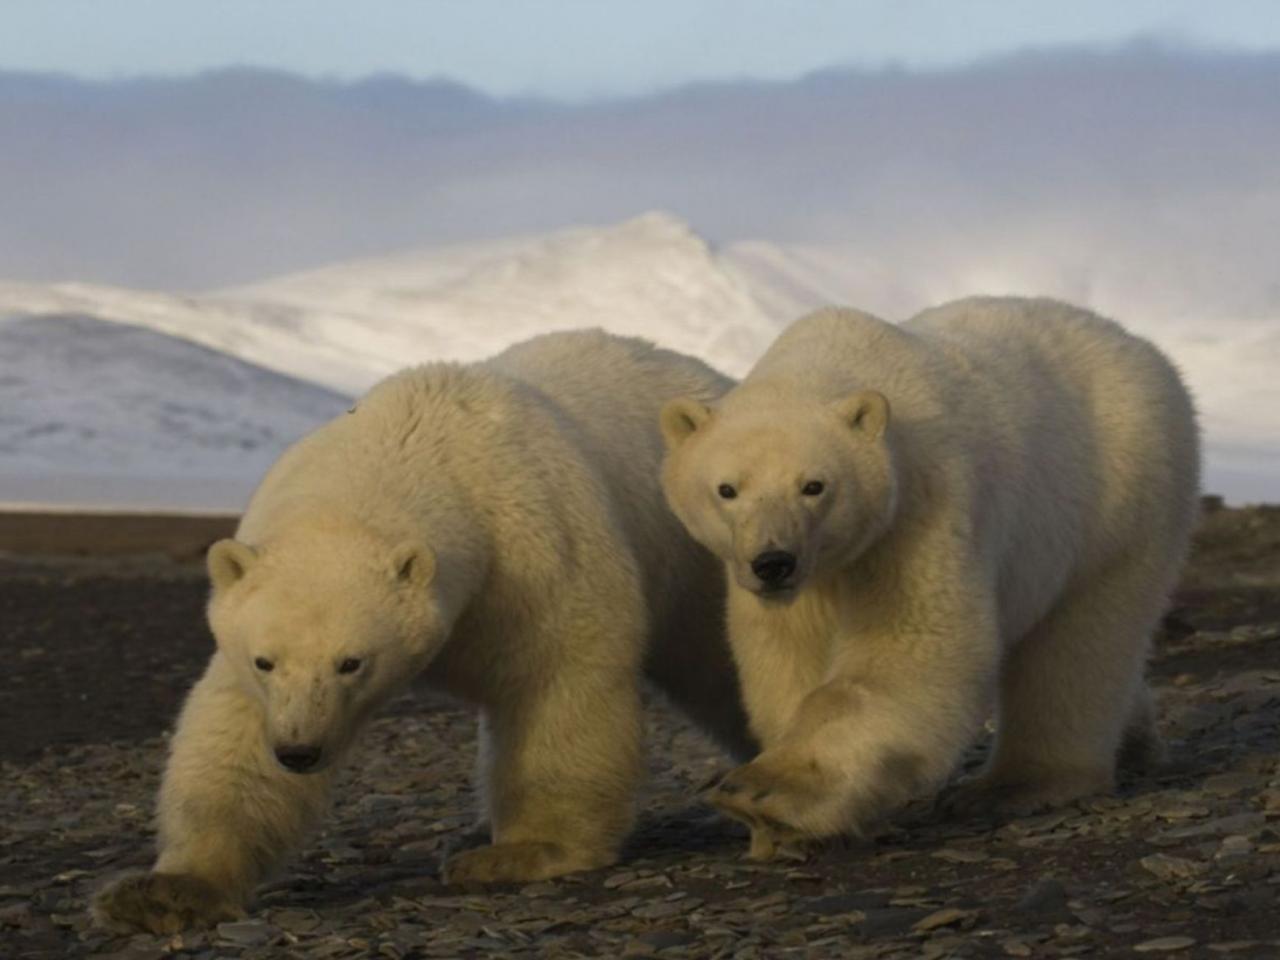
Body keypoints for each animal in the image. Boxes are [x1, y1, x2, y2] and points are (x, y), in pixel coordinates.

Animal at [97, 332, 747, 942]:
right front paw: (165, 892)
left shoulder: (537, 549)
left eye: (351, 662)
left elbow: (560, 677)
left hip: (702, 553)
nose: (300, 751)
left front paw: (519, 853)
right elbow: (233, 732)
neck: (416, 441)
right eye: (266, 661)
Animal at [660, 296, 1198, 860]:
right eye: (727, 489)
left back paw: (1018, 783)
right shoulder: (793, 586)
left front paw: (765, 792)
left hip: (1120, 493)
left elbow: (909, 650)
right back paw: (1136, 741)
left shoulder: (918, 511)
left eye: (814, 485)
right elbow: (785, 659)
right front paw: (780, 830)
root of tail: (1140, 347)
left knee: (1080, 643)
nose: (773, 562)